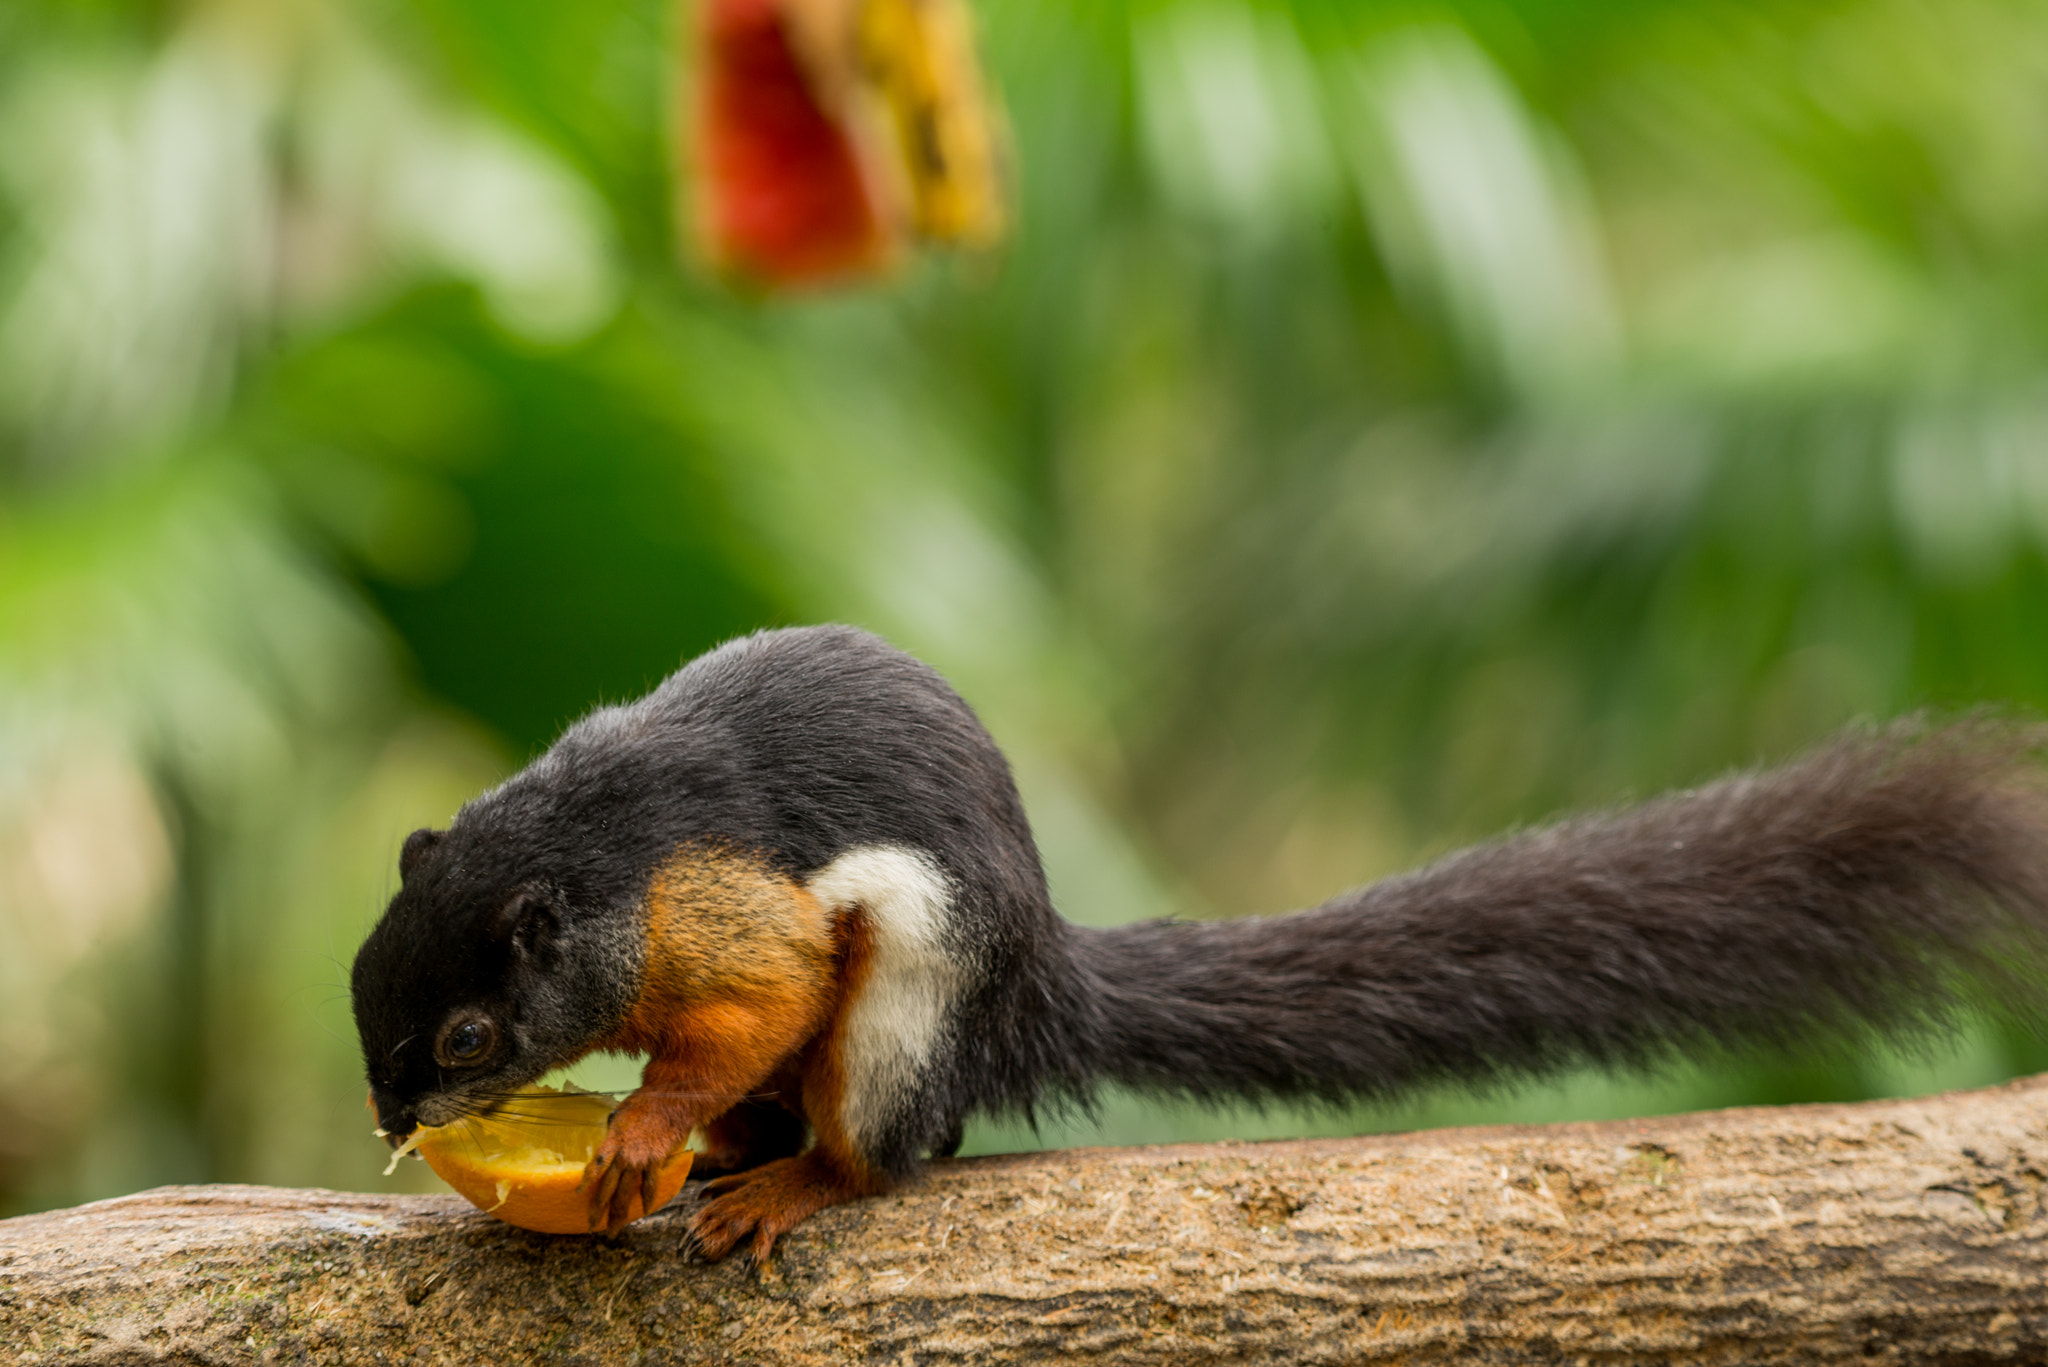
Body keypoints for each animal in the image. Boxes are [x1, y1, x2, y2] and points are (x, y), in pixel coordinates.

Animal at [351, 624, 2048, 1260]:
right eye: (366, 989)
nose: (392, 1118)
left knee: (899, 1143)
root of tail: (1039, 985)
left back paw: (787, 1177)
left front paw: (641, 1127)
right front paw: (650, 1134)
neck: (588, 852)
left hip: (920, 996)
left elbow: (758, 998)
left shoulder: (717, 905)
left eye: (469, 1037)